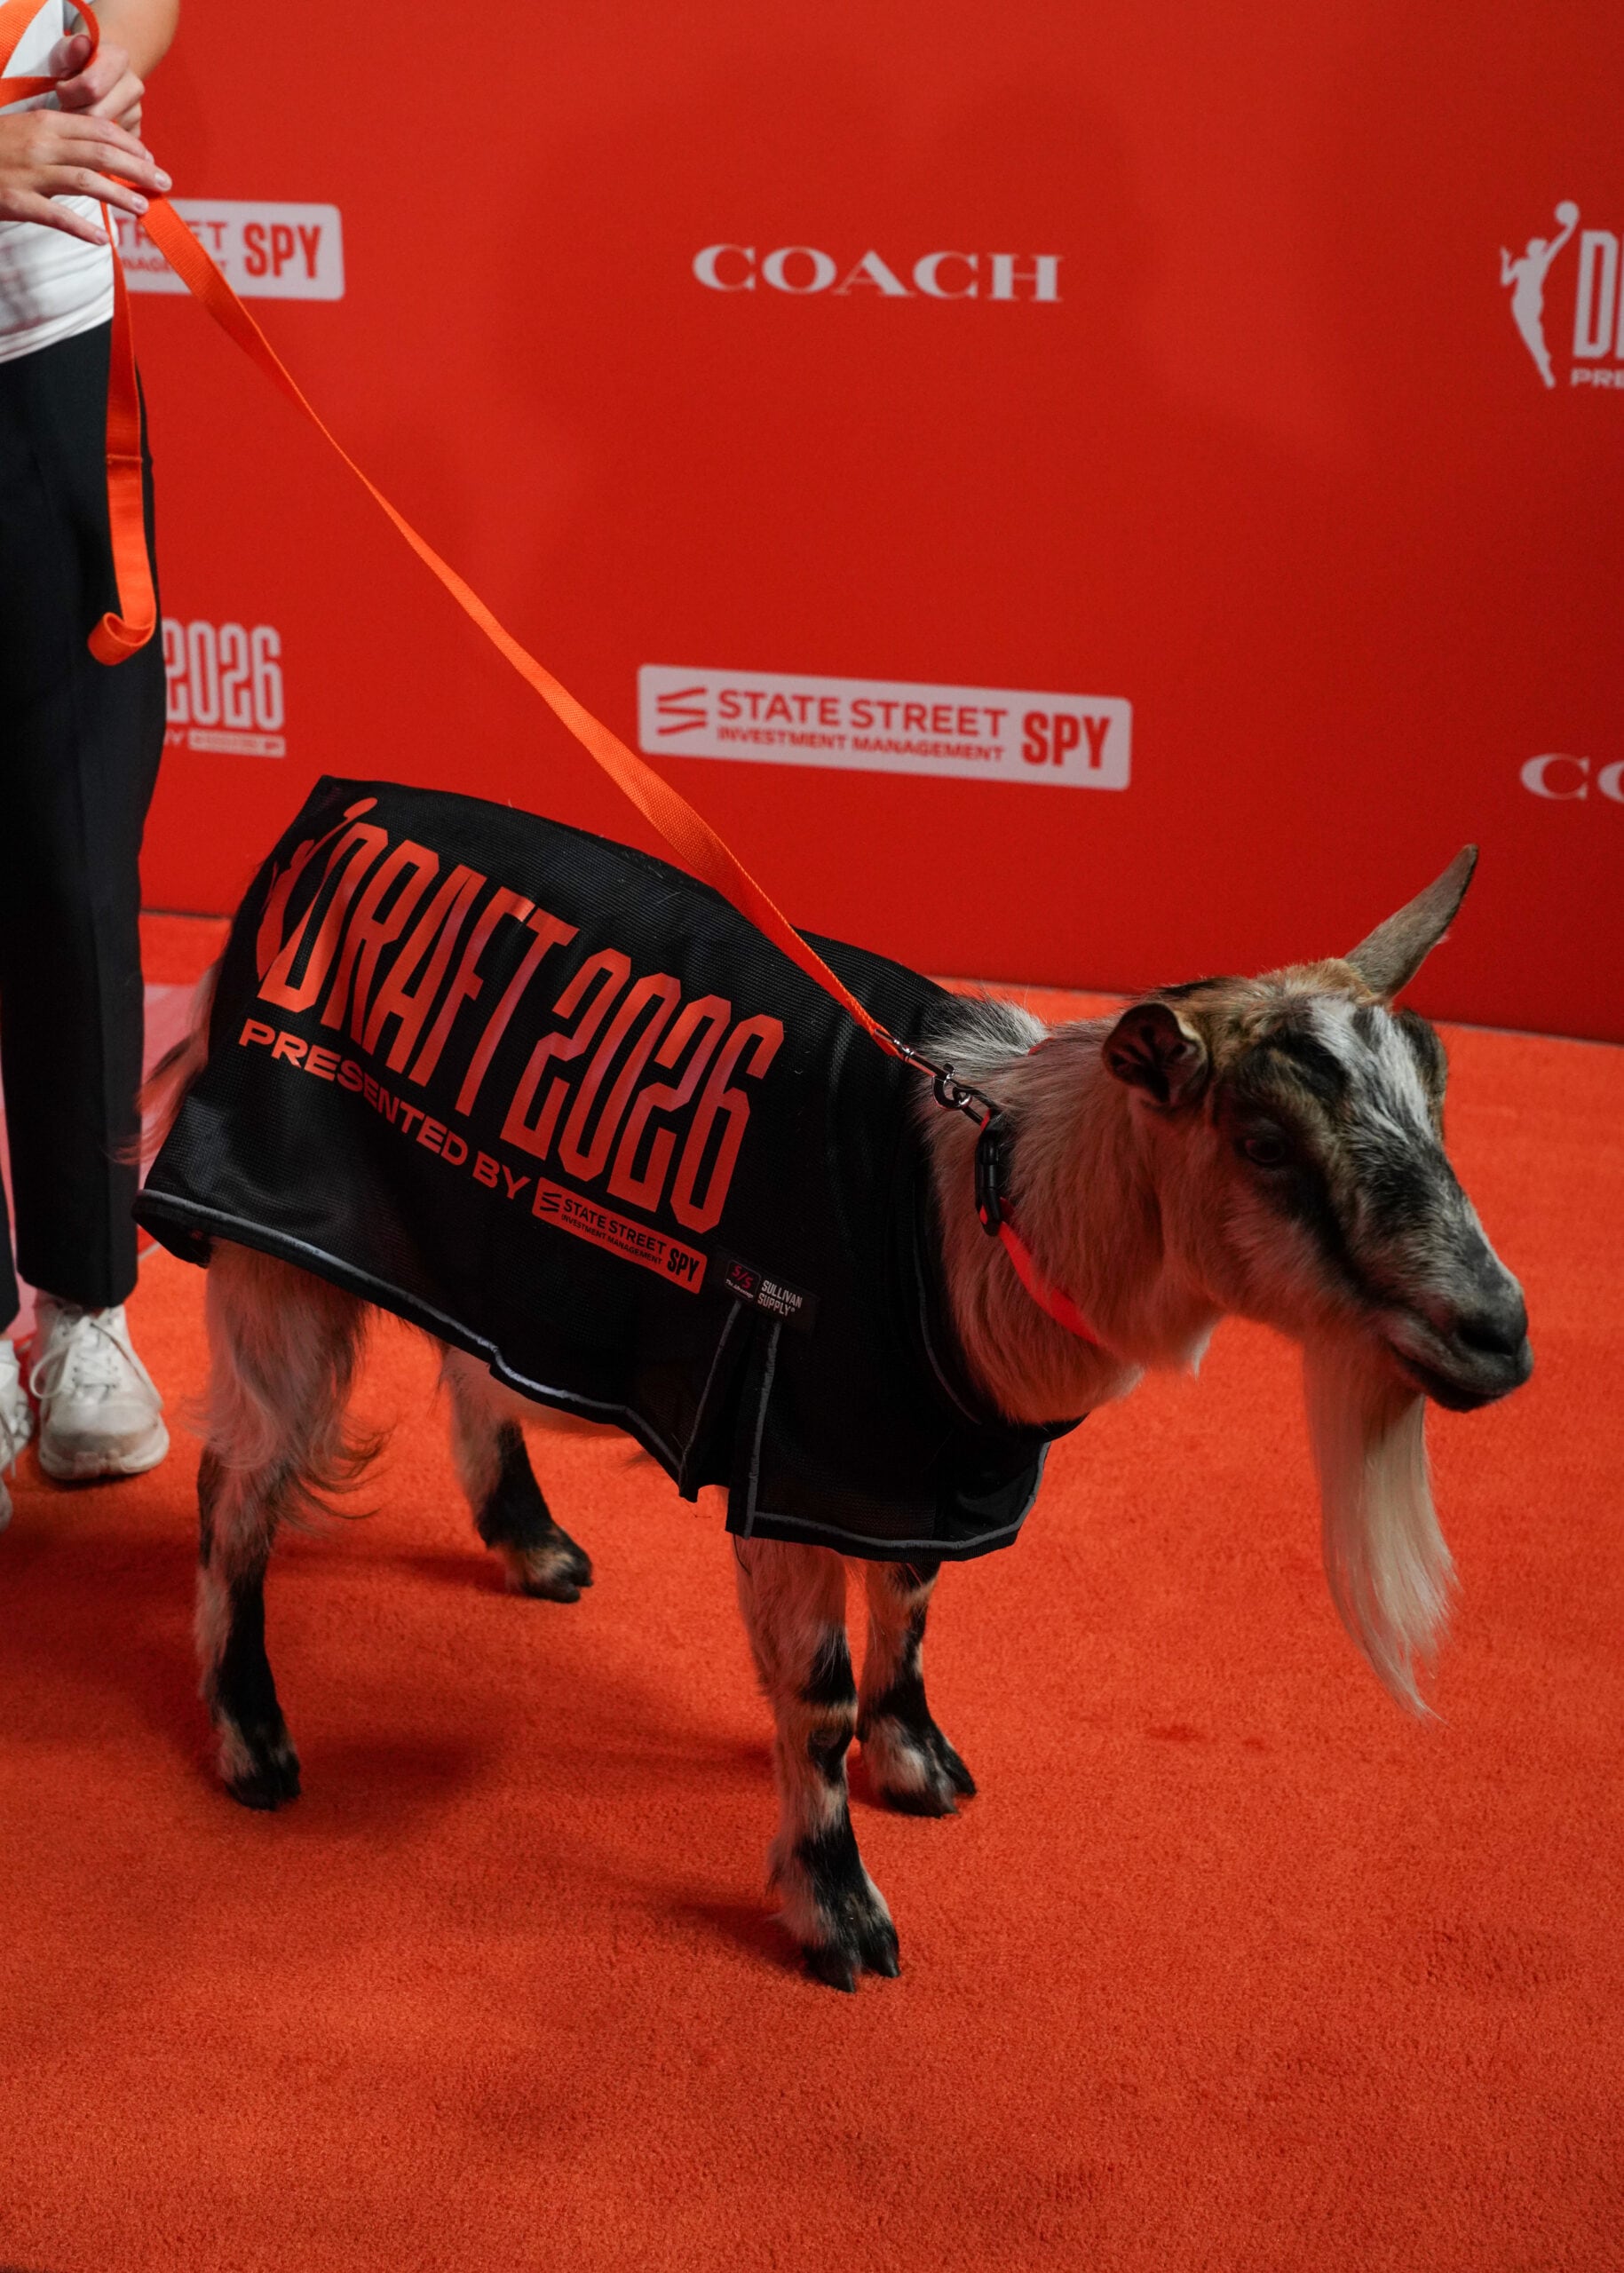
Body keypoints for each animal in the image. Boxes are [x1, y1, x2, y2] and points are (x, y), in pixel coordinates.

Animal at [140, 787, 1531, 1990]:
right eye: (1261, 1142)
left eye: (1439, 1103)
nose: (1499, 1334)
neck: (984, 1202)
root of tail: (326, 813)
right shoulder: (790, 1445)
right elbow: (811, 1695)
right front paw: (837, 1911)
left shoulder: (909, 1455)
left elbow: (910, 1609)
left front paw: (914, 1760)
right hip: (277, 1245)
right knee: (237, 1484)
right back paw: (252, 1737)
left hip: (483, 1230)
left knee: (466, 1358)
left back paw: (530, 1541)